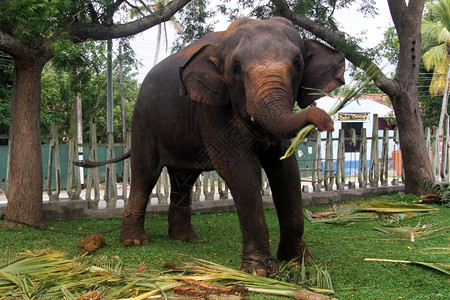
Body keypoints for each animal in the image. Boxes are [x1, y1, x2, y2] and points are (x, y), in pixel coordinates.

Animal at [78, 17, 344, 276]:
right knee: (146, 173)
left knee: (183, 178)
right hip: (143, 119)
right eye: (236, 68)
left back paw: (185, 239)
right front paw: (259, 270)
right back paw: (135, 242)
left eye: (297, 63)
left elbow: (286, 169)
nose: (327, 120)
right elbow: (239, 169)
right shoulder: (211, 108)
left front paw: (298, 262)